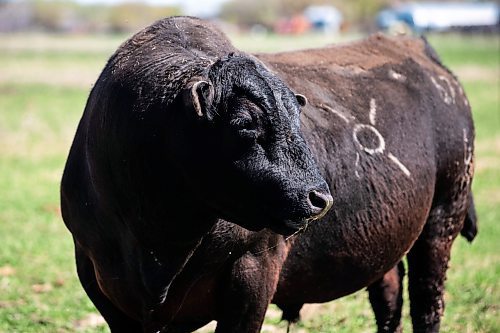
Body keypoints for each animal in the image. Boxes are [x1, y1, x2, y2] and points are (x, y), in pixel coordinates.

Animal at [60, 16, 474, 332]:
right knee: (388, 294)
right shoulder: (96, 275)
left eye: (297, 119)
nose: (320, 198)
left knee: (427, 302)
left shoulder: (254, 270)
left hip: (444, 216)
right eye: (245, 123)